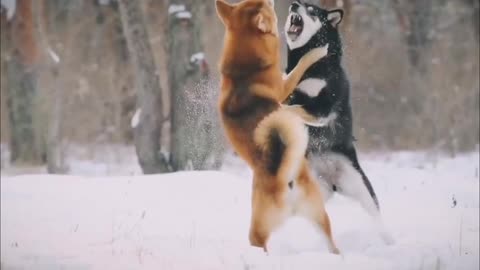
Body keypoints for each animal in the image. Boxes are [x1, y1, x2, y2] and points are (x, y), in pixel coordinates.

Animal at [216, 0, 340, 254]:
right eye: (264, 5)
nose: (276, 1)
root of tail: (285, 180)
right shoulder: (283, 89)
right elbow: (300, 66)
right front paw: (316, 52)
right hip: (261, 230)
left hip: (316, 213)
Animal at [282, 0, 394, 245]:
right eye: (299, 2)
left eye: (312, 10)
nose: (293, 5)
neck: (311, 66)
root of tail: (332, 180)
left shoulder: (323, 107)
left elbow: (294, 108)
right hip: (311, 194)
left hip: (362, 188)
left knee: (377, 216)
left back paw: (388, 239)